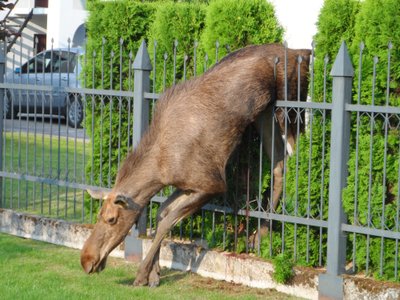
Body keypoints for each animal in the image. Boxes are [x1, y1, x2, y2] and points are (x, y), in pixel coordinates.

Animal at [81, 43, 310, 288]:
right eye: (99, 215)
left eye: (112, 219)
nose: (86, 260)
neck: (160, 167)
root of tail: (300, 52)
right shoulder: (187, 185)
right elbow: (161, 212)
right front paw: (155, 272)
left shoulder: (212, 184)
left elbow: (167, 220)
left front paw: (143, 274)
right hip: (265, 115)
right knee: (279, 166)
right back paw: (261, 234)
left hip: (289, 109)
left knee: (295, 157)